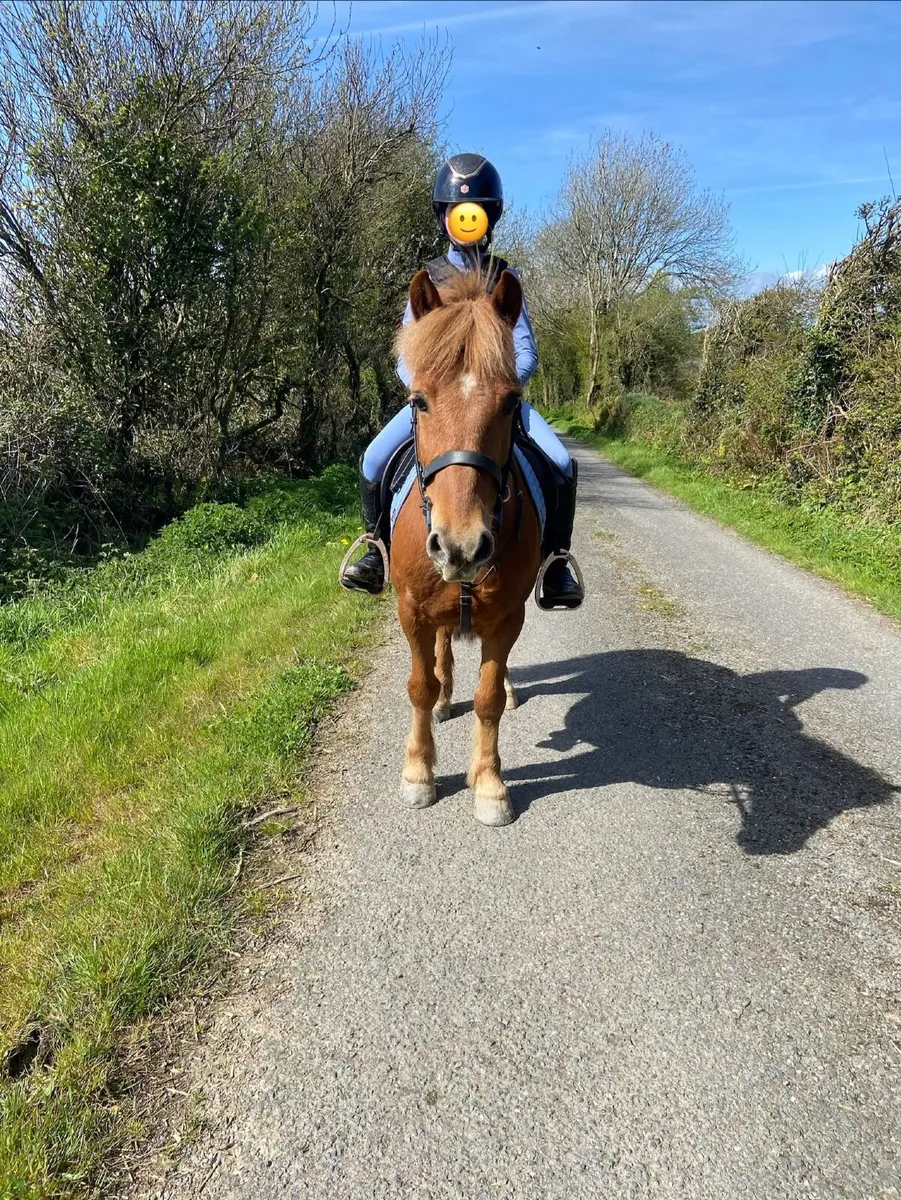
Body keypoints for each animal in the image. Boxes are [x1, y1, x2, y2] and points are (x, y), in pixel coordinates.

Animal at [388, 267, 543, 827]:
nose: (461, 547)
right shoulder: (411, 609)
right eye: (419, 400)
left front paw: (490, 784)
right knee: (439, 655)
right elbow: (419, 685)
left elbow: (488, 697)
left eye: (511, 402)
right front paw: (418, 774)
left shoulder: (508, 615)